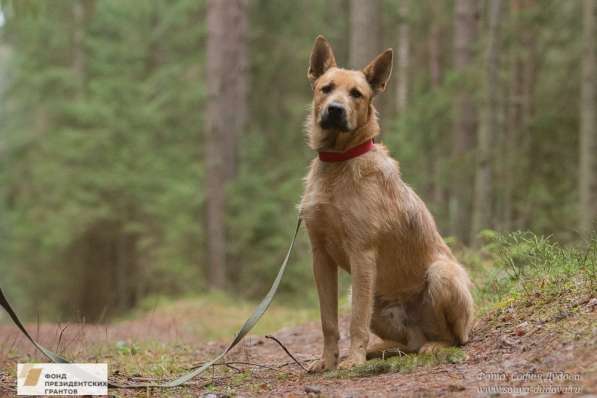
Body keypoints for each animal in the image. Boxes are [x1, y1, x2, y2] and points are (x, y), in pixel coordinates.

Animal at [300, 35, 472, 372]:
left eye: (356, 94)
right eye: (326, 88)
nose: (335, 110)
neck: (339, 163)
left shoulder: (362, 253)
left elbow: (355, 321)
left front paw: (351, 361)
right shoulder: (320, 256)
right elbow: (328, 321)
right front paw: (327, 361)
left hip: (441, 275)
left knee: (452, 337)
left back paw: (432, 346)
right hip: (373, 302)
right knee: (406, 342)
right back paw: (382, 349)